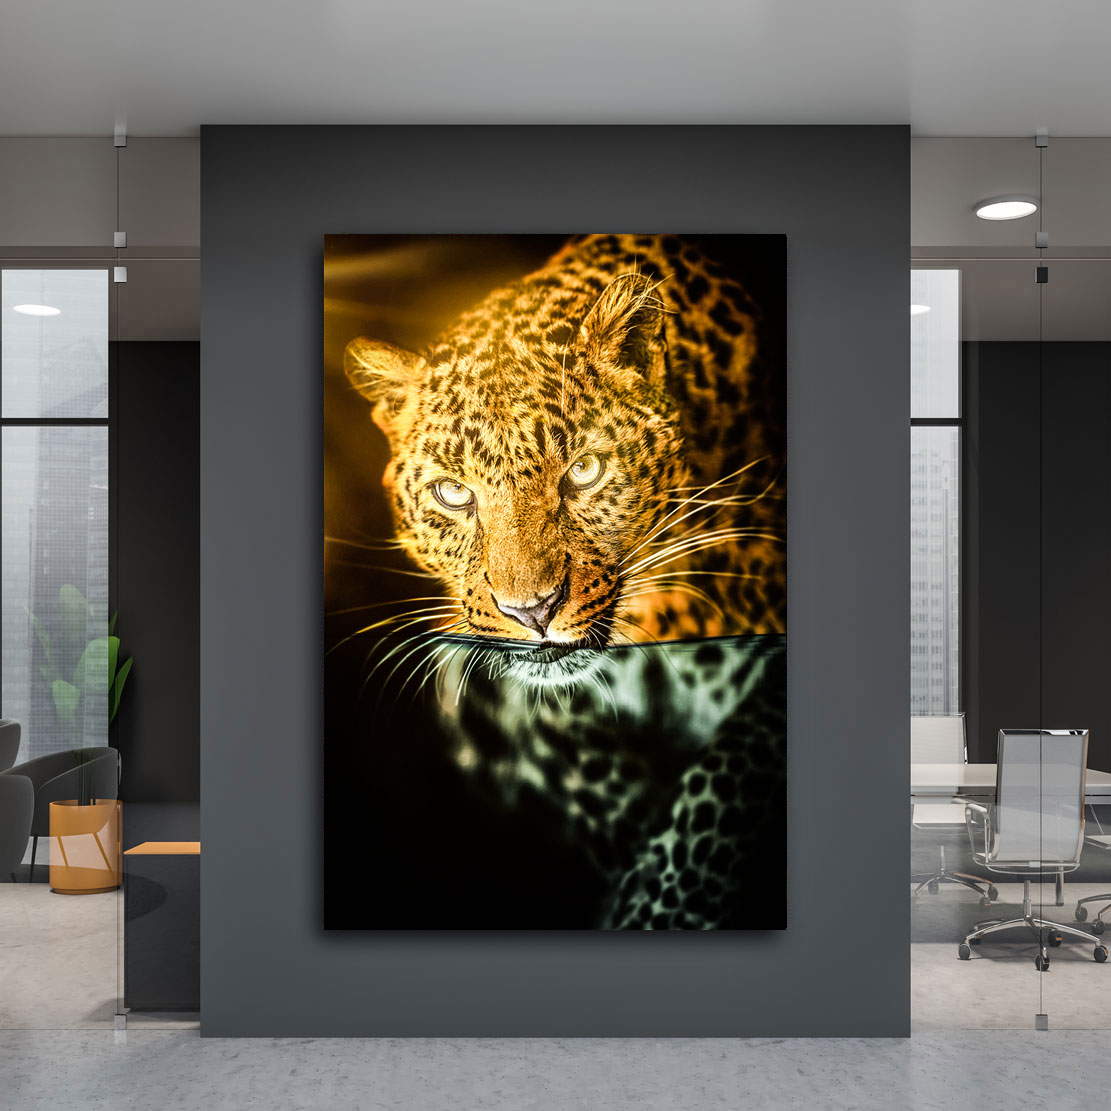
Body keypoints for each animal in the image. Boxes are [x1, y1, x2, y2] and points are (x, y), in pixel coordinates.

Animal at [343, 234, 786, 928]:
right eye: (453, 493)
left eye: (583, 471)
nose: (532, 611)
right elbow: (593, 780)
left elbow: (723, 778)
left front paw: (658, 906)